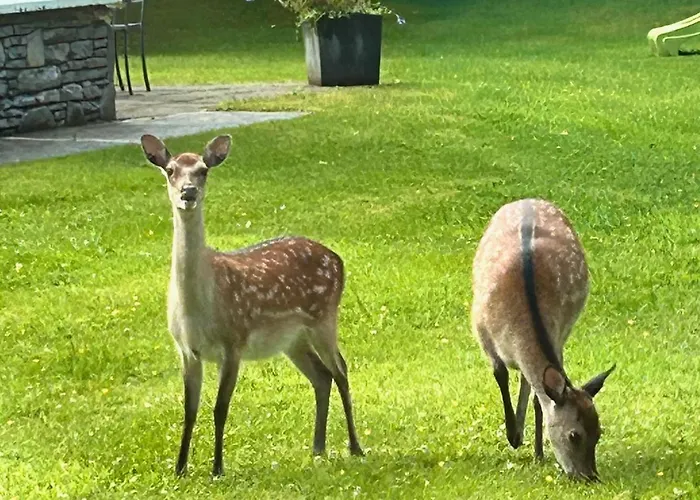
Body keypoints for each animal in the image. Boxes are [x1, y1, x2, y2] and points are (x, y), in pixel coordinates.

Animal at [140, 133, 364, 478]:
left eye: (203, 170)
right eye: (170, 170)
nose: (188, 193)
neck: (199, 310)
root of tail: (338, 259)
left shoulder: (234, 341)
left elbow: (220, 408)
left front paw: (217, 468)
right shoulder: (186, 349)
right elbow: (189, 410)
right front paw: (179, 469)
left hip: (324, 317)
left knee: (340, 370)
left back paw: (355, 447)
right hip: (292, 339)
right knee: (321, 375)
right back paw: (317, 448)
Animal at [471, 198, 615, 481]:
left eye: (599, 432)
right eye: (574, 435)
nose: (590, 477)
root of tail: (528, 200)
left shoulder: (558, 334)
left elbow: (539, 397)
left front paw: (538, 451)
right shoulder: (481, 330)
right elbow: (500, 375)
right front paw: (514, 436)